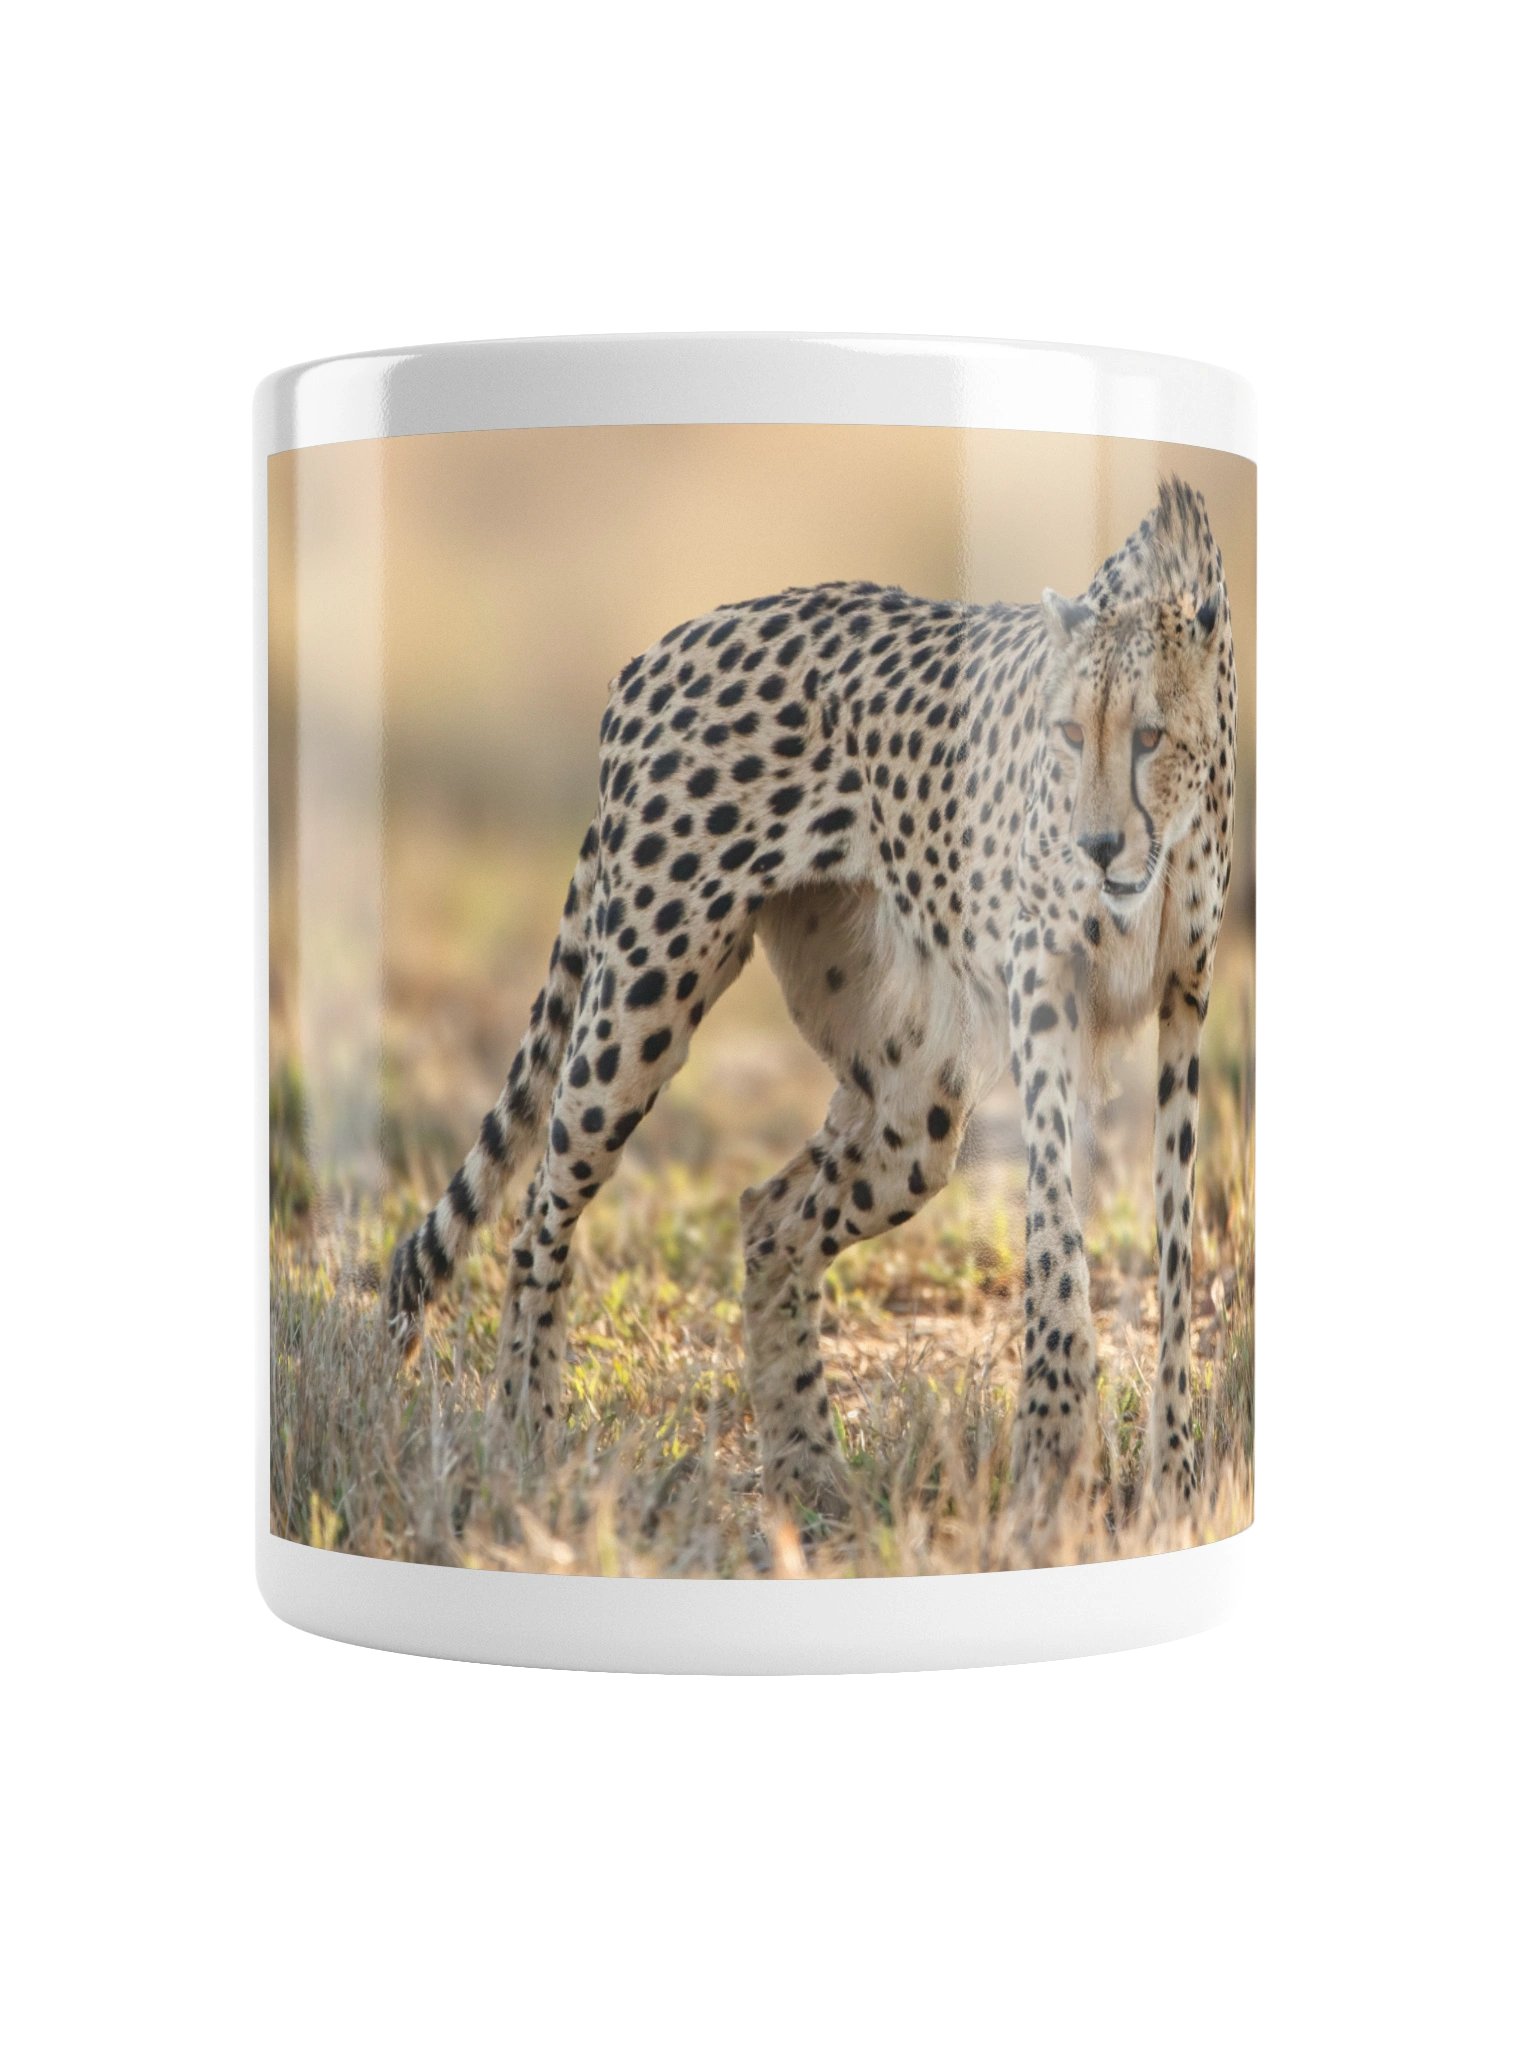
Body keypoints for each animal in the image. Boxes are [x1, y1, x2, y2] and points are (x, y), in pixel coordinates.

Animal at [386, 478, 1237, 1527]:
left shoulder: (1184, 1003)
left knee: (770, 1215)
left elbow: (1175, 1248)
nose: (1099, 846)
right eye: (1069, 733)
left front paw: (1174, 1476)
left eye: (1150, 735)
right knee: (542, 1198)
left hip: (913, 1109)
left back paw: (807, 1469)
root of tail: (658, 650)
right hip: (645, 989)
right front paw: (1051, 1447)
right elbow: (1054, 1230)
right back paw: (527, 1430)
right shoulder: (1045, 984)